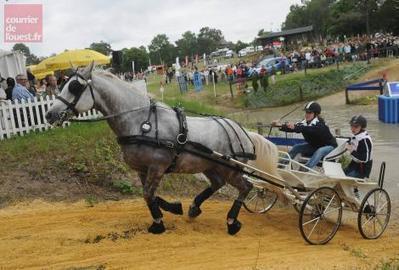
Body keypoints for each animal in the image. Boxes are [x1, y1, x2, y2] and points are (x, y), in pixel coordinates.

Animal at [46, 62, 278, 234]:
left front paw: (158, 222)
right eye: (63, 84)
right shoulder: (143, 169)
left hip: (230, 168)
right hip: (211, 166)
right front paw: (173, 208)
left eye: (74, 87)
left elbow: (148, 194)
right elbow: (150, 194)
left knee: (246, 187)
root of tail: (243, 131)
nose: (50, 114)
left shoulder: (157, 166)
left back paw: (231, 222)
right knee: (218, 184)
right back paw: (194, 208)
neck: (141, 122)